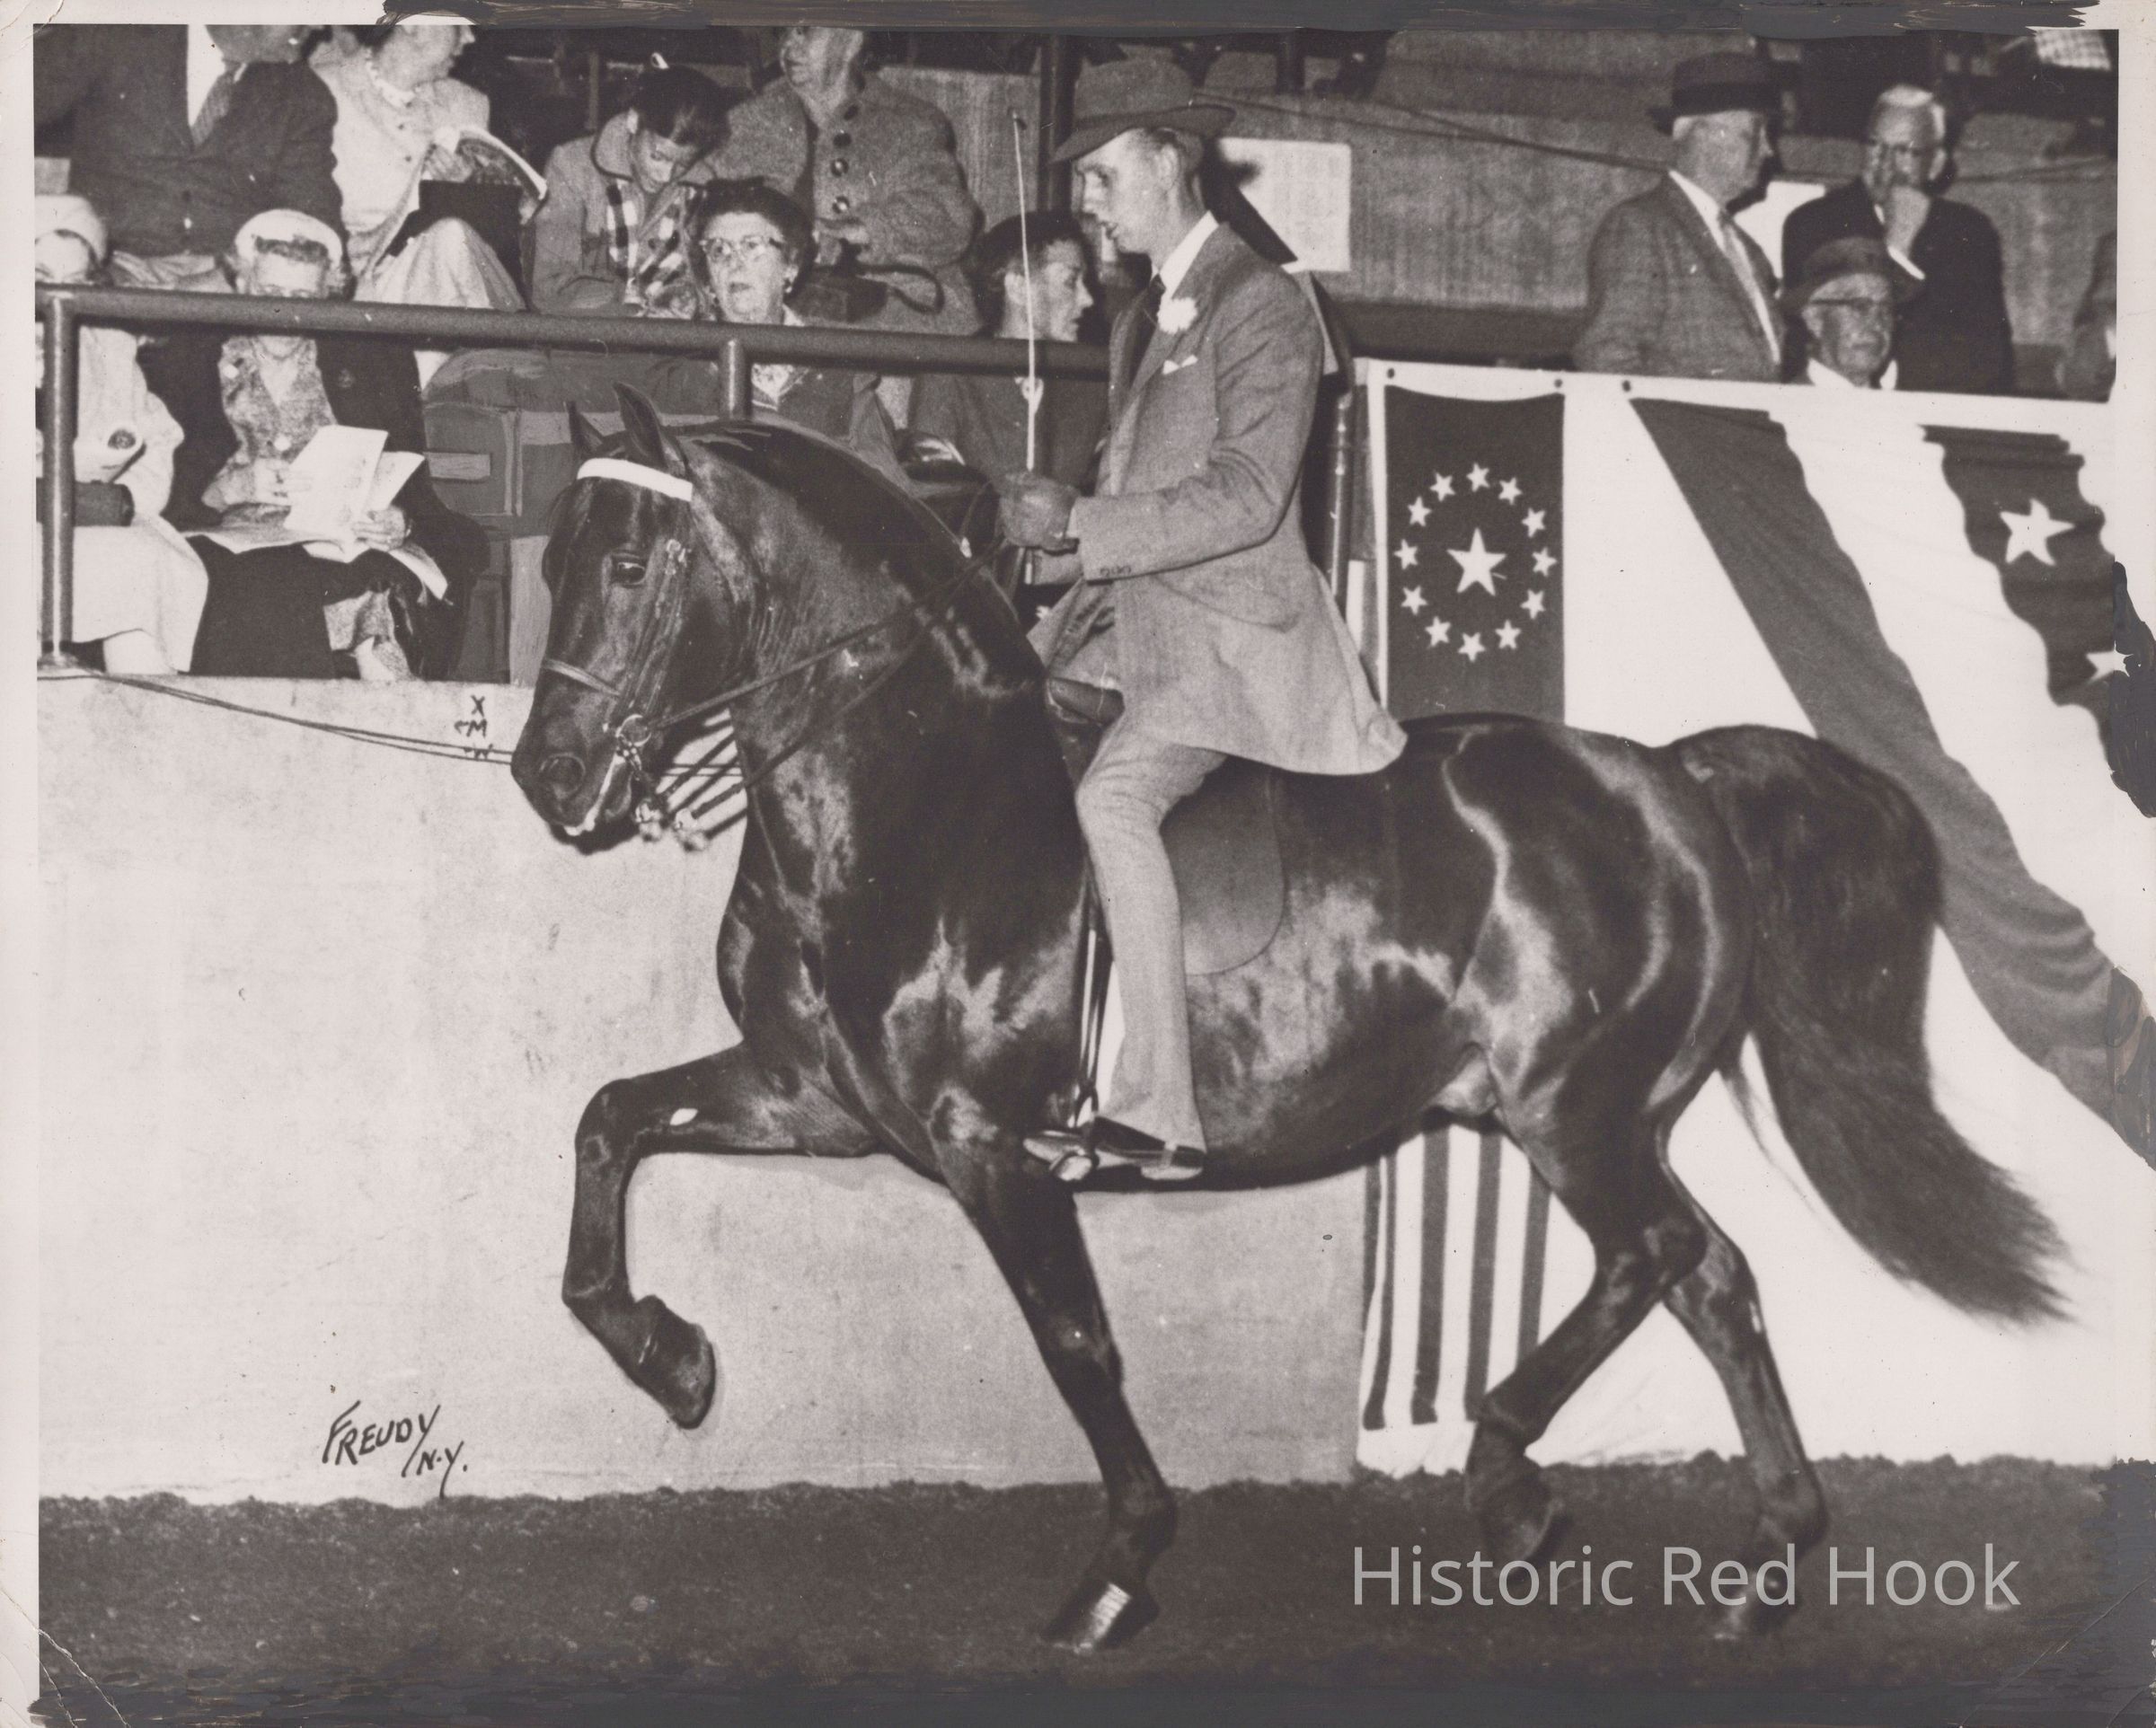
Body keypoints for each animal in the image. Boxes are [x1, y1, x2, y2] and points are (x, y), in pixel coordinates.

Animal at [509, 388, 2062, 1653]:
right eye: (548, 562)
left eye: (630, 565)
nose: (549, 777)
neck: (909, 797)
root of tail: (1674, 781)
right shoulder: (810, 1096)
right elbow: (605, 1125)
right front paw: (670, 1359)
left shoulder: (990, 1145)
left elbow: (1075, 1343)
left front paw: (1119, 1572)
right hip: (1595, 1119)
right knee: (1712, 1279)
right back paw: (1757, 1563)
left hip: (1577, 1112)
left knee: (1662, 1256)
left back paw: (1519, 1484)